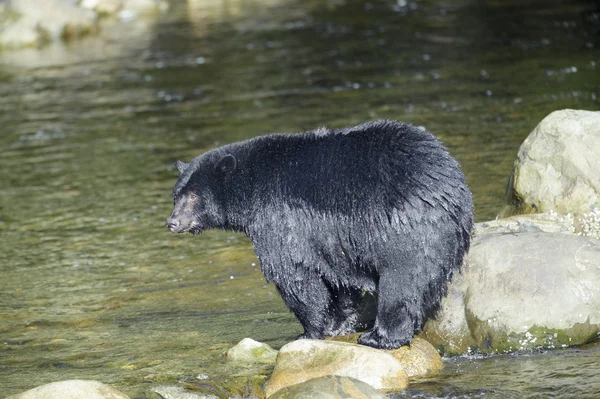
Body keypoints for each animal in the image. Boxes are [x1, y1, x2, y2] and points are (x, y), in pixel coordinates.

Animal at [166, 120, 472, 348]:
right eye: (176, 195)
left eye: (193, 196)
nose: (172, 222)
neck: (249, 188)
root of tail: (452, 188)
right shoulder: (329, 241)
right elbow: (338, 279)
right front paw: (338, 324)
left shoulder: (278, 218)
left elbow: (295, 276)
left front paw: (308, 331)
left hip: (405, 232)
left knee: (401, 281)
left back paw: (379, 337)